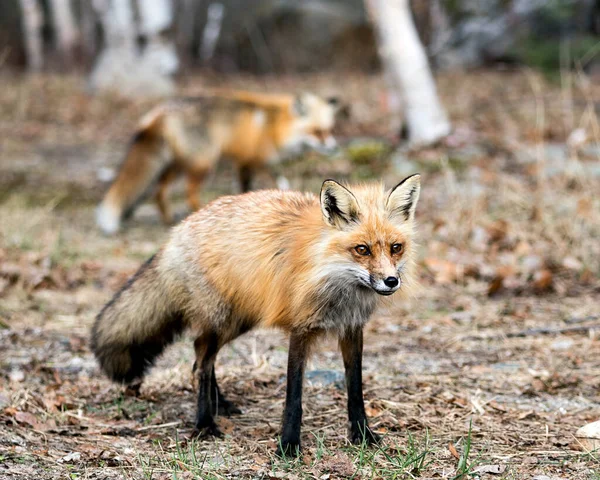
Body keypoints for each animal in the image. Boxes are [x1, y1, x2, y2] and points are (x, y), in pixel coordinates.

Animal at [92, 175, 422, 458]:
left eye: (396, 247)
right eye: (362, 249)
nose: (391, 281)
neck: (334, 280)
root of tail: (176, 233)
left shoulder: (352, 329)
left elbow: (355, 391)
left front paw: (363, 436)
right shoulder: (300, 329)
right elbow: (294, 397)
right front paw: (288, 446)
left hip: (238, 321)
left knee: (200, 357)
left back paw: (220, 404)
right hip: (220, 320)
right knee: (201, 361)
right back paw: (205, 422)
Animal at [95, 91, 340, 235]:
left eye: (329, 130)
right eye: (317, 132)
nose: (333, 147)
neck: (272, 126)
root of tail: (160, 112)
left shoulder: (254, 163)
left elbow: (272, 183)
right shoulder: (249, 161)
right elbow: (257, 185)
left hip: (176, 166)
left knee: (159, 191)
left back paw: (168, 219)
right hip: (203, 164)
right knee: (189, 193)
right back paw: (196, 214)